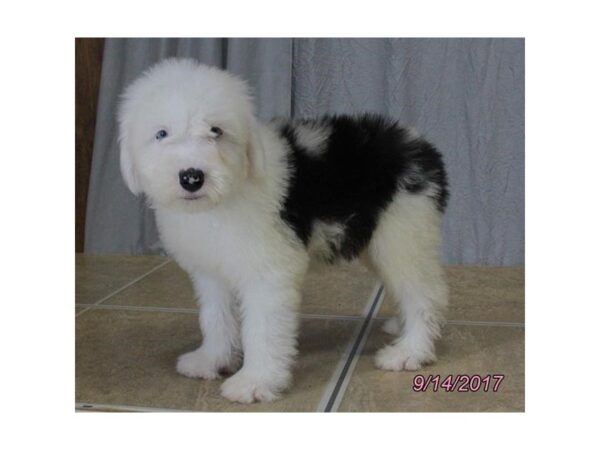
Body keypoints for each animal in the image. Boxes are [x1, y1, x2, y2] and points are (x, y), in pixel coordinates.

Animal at [117, 58, 448, 402]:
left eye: (216, 131)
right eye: (161, 133)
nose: (192, 177)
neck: (227, 196)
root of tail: (421, 147)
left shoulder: (268, 273)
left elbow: (262, 329)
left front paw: (254, 381)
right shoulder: (212, 271)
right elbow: (216, 317)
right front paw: (211, 360)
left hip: (405, 233)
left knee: (424, 294)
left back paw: (410, 350)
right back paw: (401, 327)